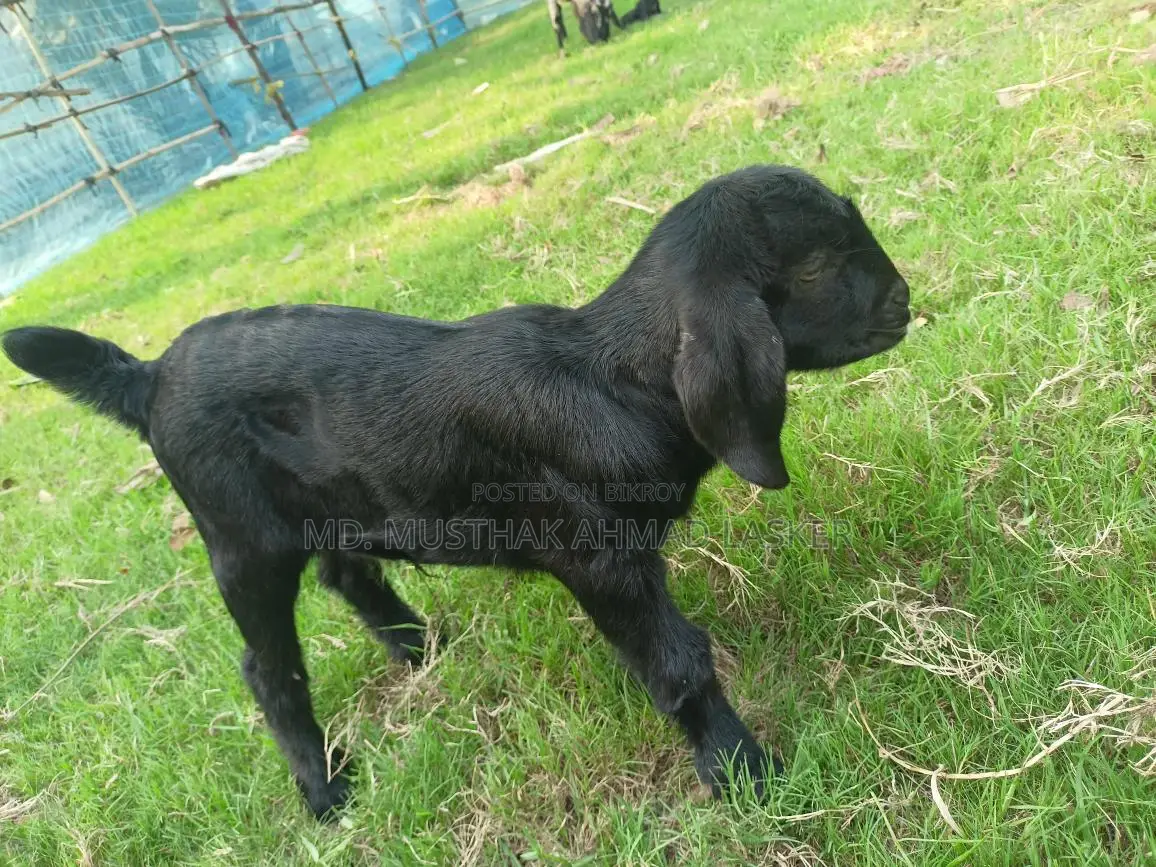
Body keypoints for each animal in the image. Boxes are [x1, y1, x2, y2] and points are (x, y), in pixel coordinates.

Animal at [3, 165, 911, 820]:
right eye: (819, 265)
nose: (904, 299)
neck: (613, 377)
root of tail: (150, 376)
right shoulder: (598, 557)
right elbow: (678, 663)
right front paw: (749, 775)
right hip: (241, 537)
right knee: (269, 668)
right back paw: (327, 792)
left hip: (335, 503)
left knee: (348, 571)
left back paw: (418, 647)